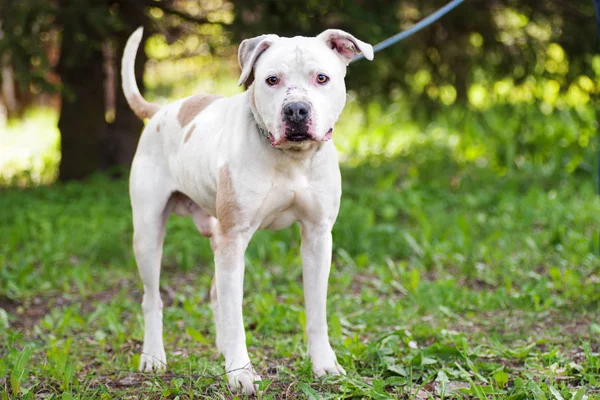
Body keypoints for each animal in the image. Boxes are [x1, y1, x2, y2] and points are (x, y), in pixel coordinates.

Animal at [122, 27, 372, 394]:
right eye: (272, 79)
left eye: (322, 78)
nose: (296, 110)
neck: (290, 159)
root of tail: (162, 111)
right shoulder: (233, 239)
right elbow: (234, 313)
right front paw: (240, 372)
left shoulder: (317, 236)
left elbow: (316, 309)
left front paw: (324, 364)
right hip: (149, 233)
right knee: (153, 298)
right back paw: (154, 357)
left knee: (215, 293)